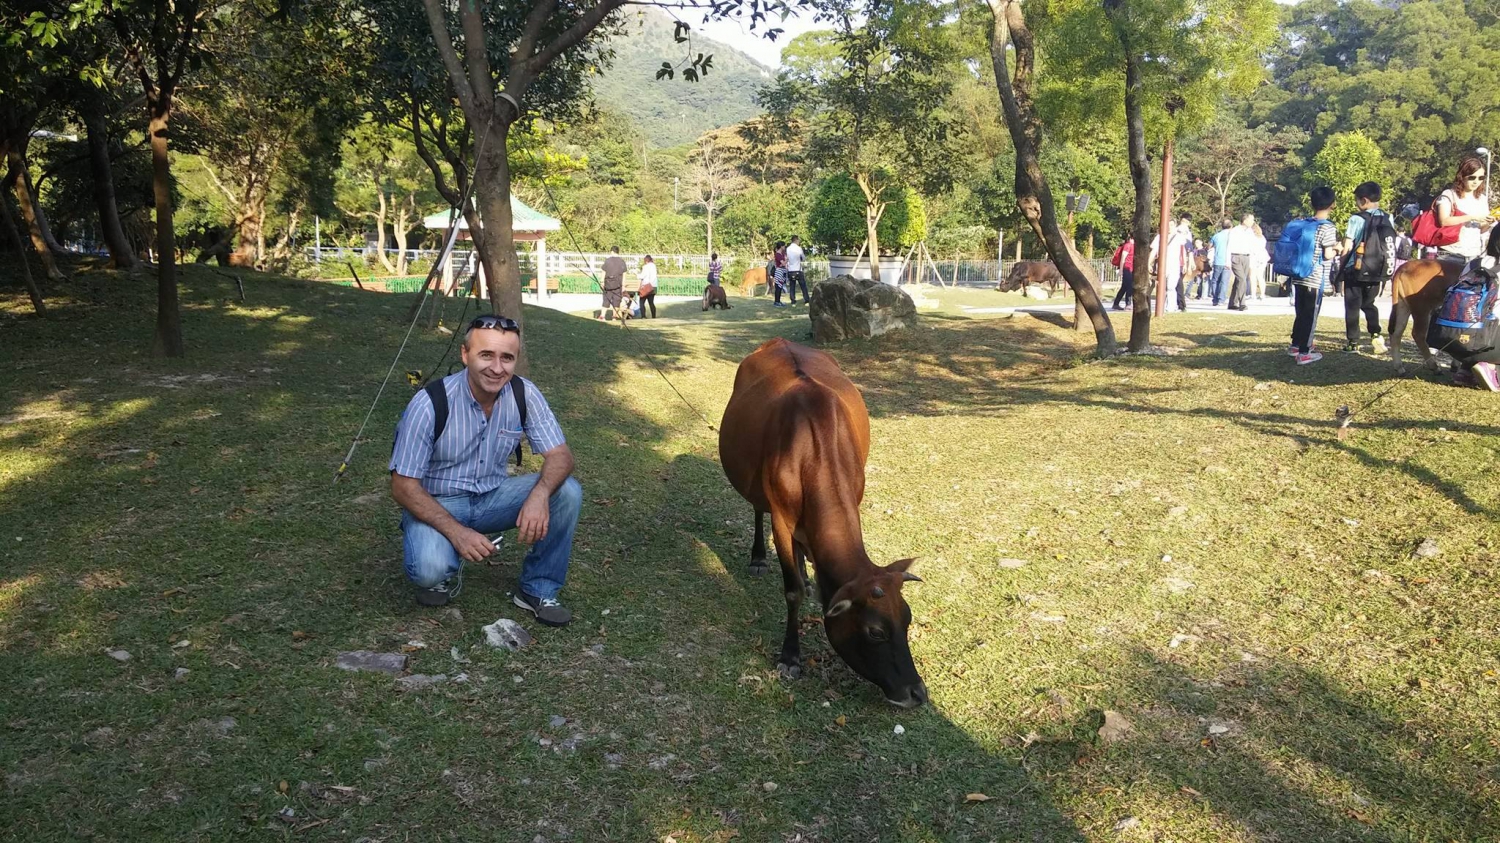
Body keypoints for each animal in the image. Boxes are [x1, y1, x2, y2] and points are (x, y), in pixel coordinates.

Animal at [714, 337, 924, 705]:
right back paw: (759, 558)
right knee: (756, 508)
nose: (917, 692)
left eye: (908, 618)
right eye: (875, 632)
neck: (813, 451)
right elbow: (792, 590)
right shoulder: (781, 518)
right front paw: (790, 656)